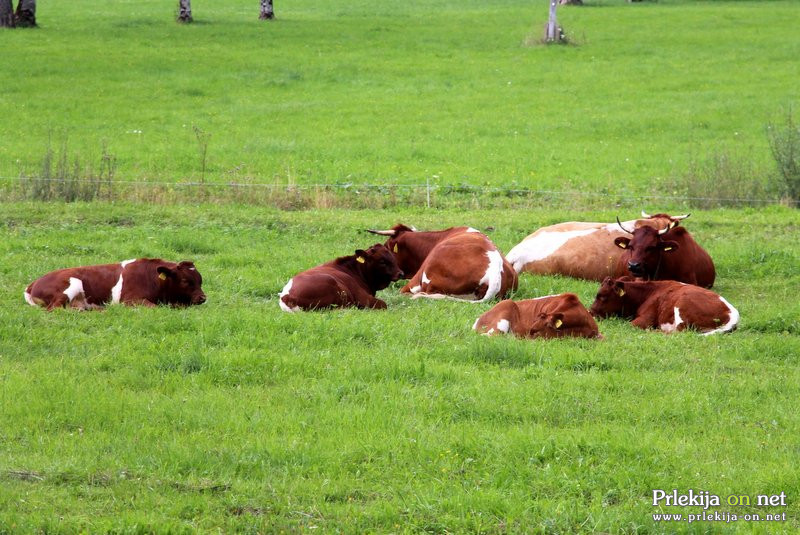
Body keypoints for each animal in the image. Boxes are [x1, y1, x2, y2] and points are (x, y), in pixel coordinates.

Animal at [27, 258, 209, 312]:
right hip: (71, 285)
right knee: (55, 308)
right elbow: (154, 307)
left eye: (200, 280)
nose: (202, 298)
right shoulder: (130, 300)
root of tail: (33, 283)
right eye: (185, 281)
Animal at [588, 276, 736, 336]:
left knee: (679, 331)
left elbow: (631, 325)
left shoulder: (645, 319)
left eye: (602, 296)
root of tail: (732, 312)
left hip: (683, 303)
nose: (590, 313)